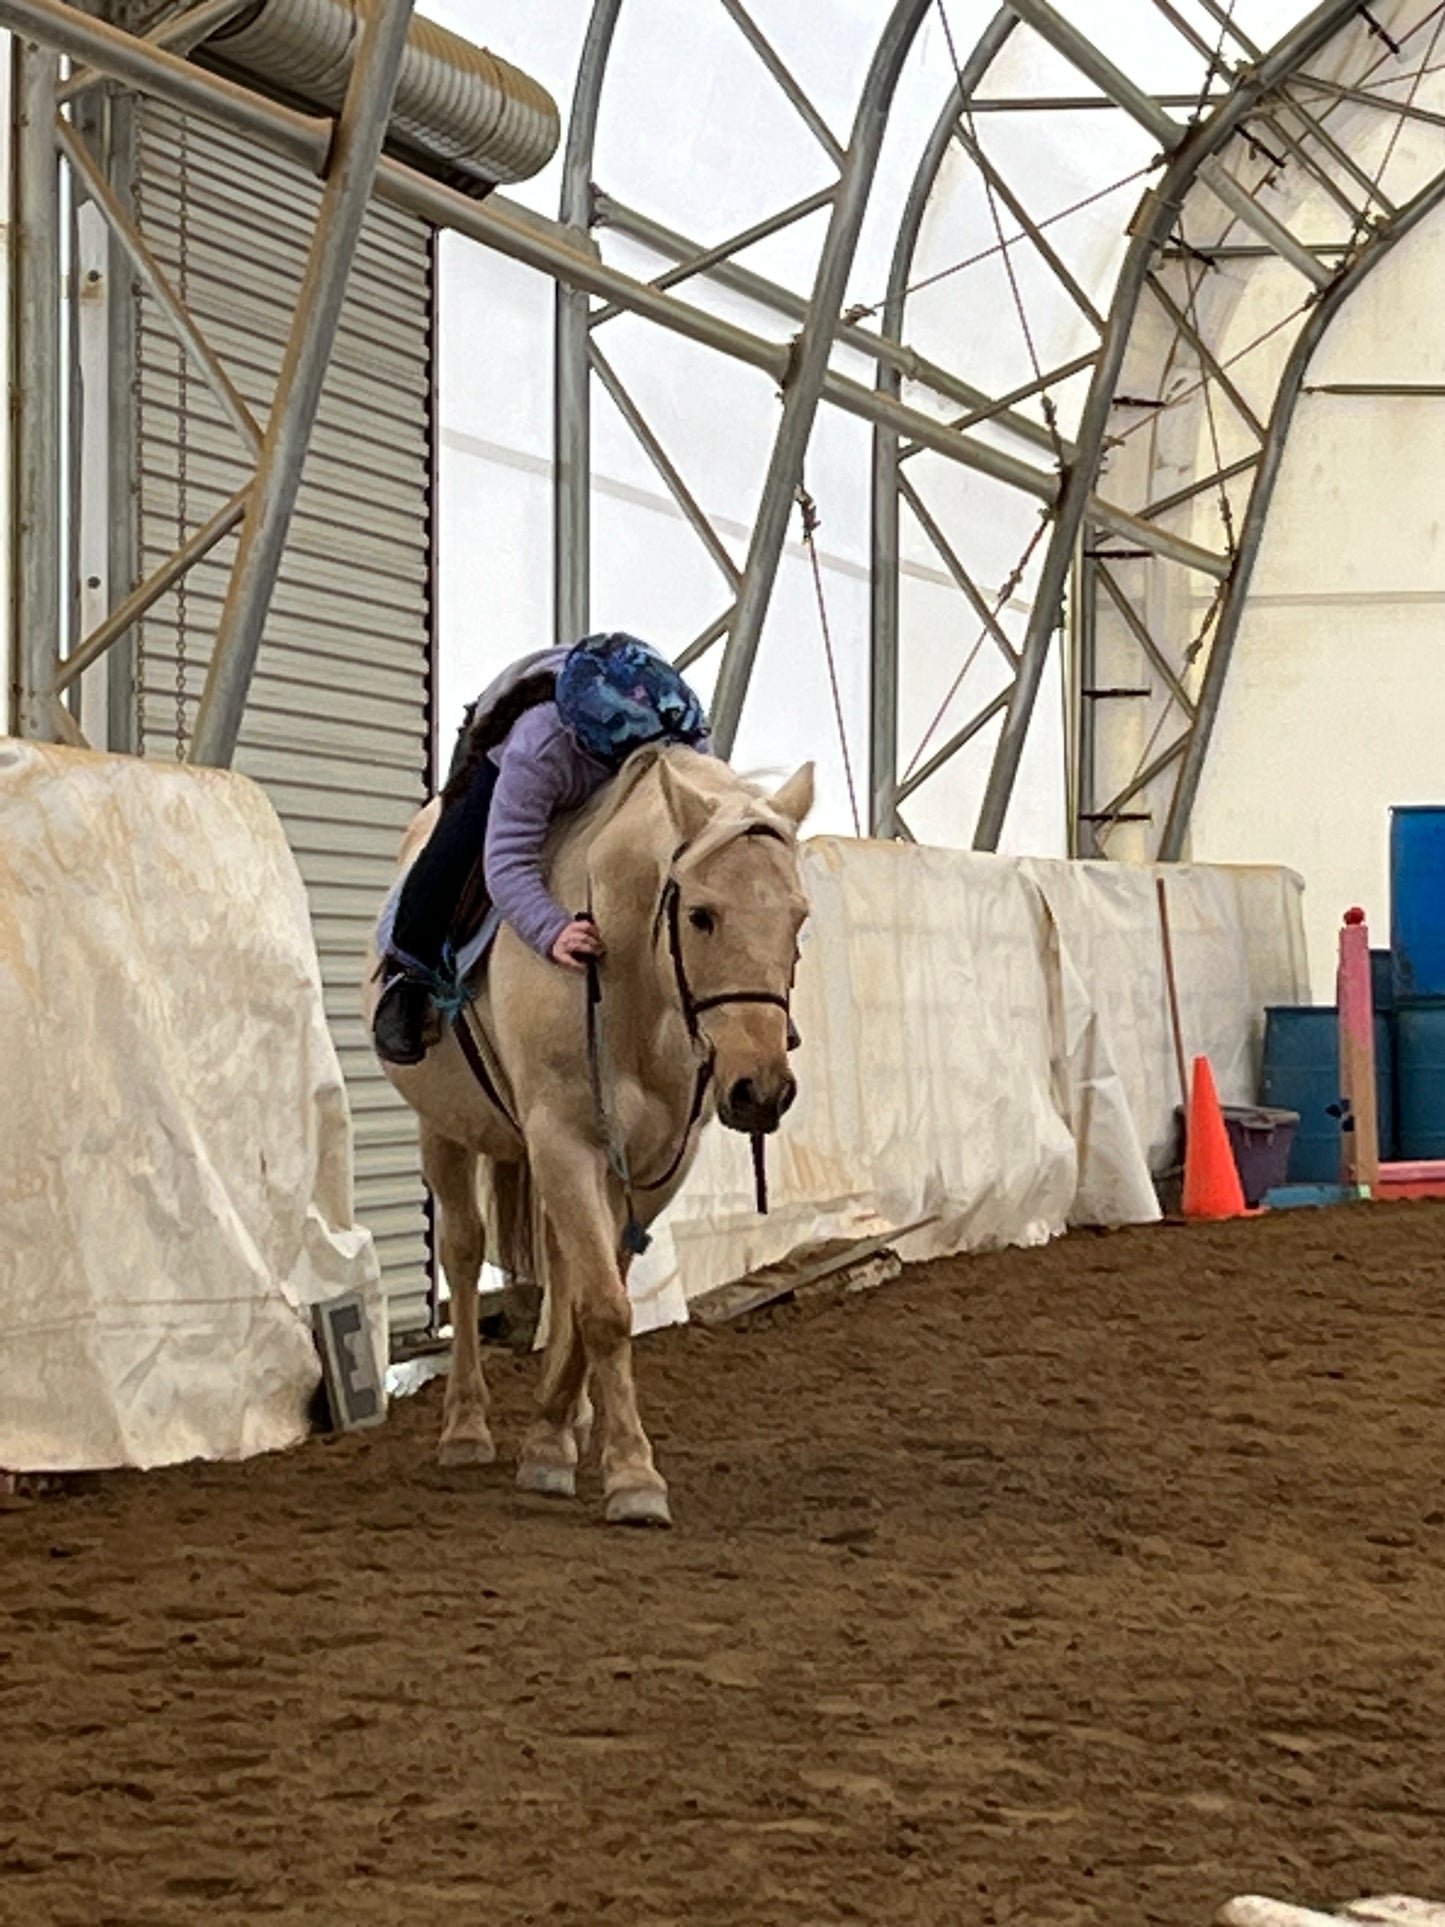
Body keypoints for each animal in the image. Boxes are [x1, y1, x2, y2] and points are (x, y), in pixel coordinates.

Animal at [364, 743, 816, 1526]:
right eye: (701, 915)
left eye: (798, 918)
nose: (761, 1089)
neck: (632, 983)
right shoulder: (563, 1142)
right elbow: (604, 1307)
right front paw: (631, 1474)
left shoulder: (655, 1161)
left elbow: (594, 1294)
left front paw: (559, 1432)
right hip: (443, 1131)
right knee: (462, 1251)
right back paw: (466, 1425)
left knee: (560, 1262)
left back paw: (571, 1421)